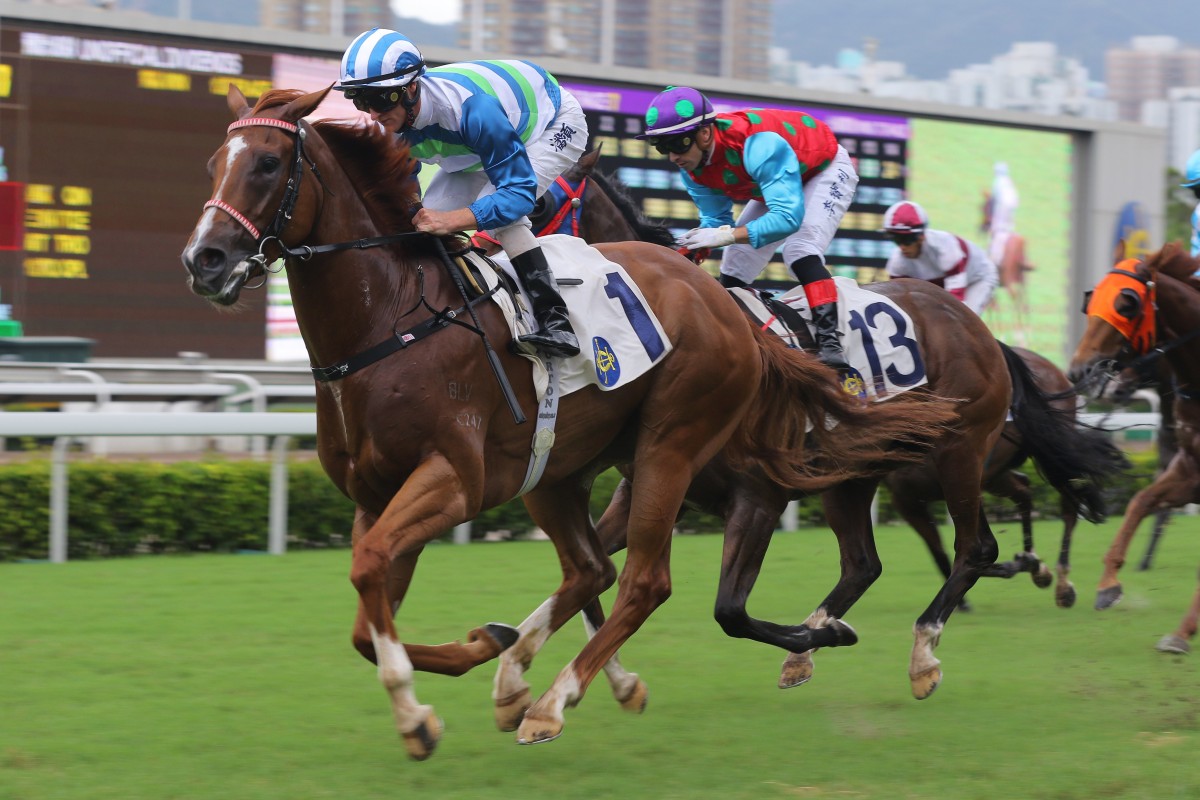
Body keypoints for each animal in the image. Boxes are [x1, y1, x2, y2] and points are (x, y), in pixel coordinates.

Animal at [180, 87, 955, 758]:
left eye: (268, 164)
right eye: (215, 164)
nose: (204, 260)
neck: (389, 325)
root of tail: (722, 304)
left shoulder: (451, 482)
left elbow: (369, 574)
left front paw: (418, 713)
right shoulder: (376, 497)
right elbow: (367, 627)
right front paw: (474, 659)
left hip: (670, 444)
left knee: (642, 580)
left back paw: (552, 703)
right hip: (558, 470)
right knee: (590, 569)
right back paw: (523, 673)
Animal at [544, 148, 1123, 695]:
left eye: (545, 202)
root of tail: (977, 328)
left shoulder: (759, 494)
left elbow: (728, 611)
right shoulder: (648, 486)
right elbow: (593, 571)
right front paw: (608, 678)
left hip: (960, 453)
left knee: (977, 547)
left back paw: (924, 651)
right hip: (856, 473)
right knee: (865, 563)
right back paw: (817, 643)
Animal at [1070, 245, 1200, 657]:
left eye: (1126, 303)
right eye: (1090, 300)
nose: (1079, 371)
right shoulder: (1190, 470)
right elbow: (1140, 502)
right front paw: (1108, 584)